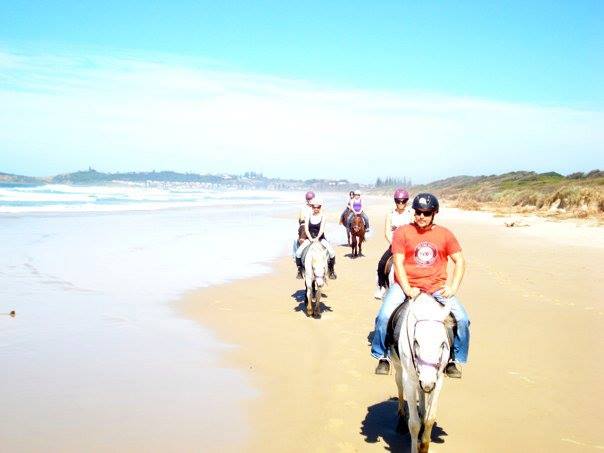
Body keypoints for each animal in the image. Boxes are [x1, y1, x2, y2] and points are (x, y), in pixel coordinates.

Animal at [392, 292, 452, 450]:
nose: (427, 382)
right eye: (416, 342)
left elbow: (429, 419)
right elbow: (414, 424)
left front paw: (424, 445)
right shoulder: (409, 381)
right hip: (399, 368)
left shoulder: (437, 380)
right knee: (400, 388)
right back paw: (401, 420)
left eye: (442, 344)